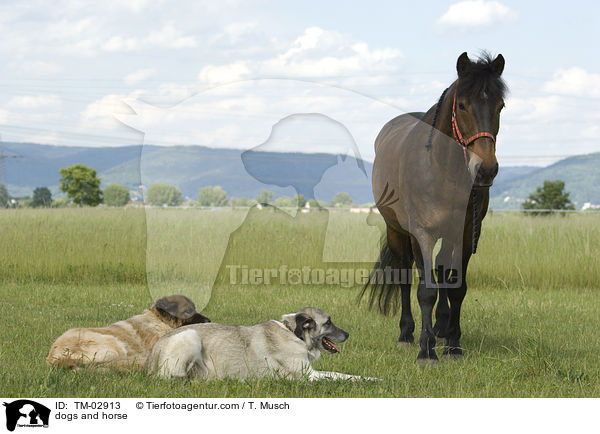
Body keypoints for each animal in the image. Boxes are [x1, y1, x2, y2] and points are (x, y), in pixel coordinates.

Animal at [146, 306, 376, 382]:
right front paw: (370, 381)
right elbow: (342, 376)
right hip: (190, 335)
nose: (347, 334)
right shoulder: (310, 376)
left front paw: (372, 378)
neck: (294, 333)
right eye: (328, 323)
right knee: (172, 377)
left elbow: (344, 374)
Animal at [360, 53, 506, 366]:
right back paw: (407, 334)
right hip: (396, 232)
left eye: (500, 105)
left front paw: (453, 344)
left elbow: (456, 286)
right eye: (462, 105)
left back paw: (441, 327)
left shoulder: (464, 233)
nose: (486, 170)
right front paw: (426, 351)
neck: (442, 169)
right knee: (404, 276)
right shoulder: (421, 233)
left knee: (441, 269)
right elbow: (425, 290)